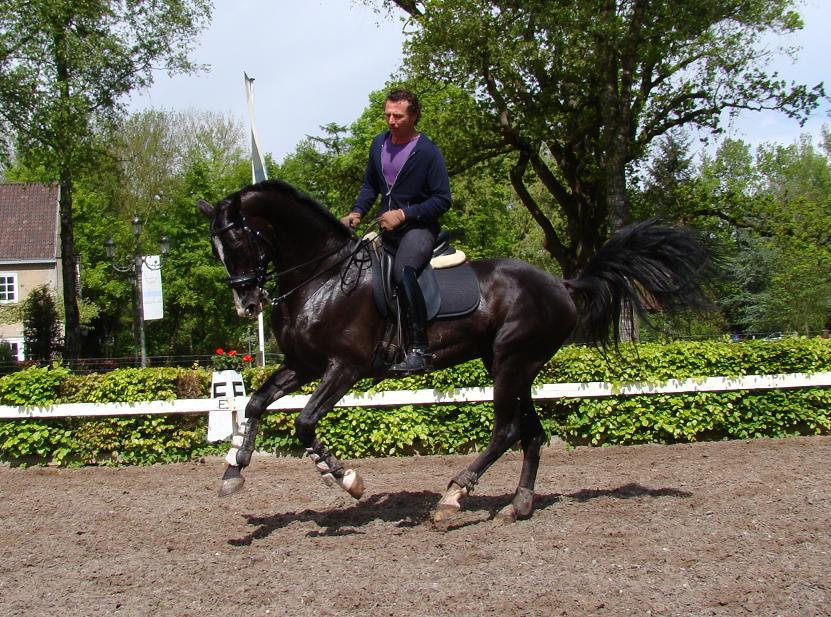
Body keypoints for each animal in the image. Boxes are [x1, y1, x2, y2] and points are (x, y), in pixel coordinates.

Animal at [197, 180, 716, 524]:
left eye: (239, 239)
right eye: (217, 248)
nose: (247, 305)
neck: (322, 275)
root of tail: (561, 284)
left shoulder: (344, 367)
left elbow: (304, 422)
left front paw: (344, 479)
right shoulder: (302, 364)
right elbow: (255, 403)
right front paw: (234, 471)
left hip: (510, 362)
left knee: (507, 430)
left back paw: (452, 497)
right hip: (512, 365)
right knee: (531, 433)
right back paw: (517, 506)